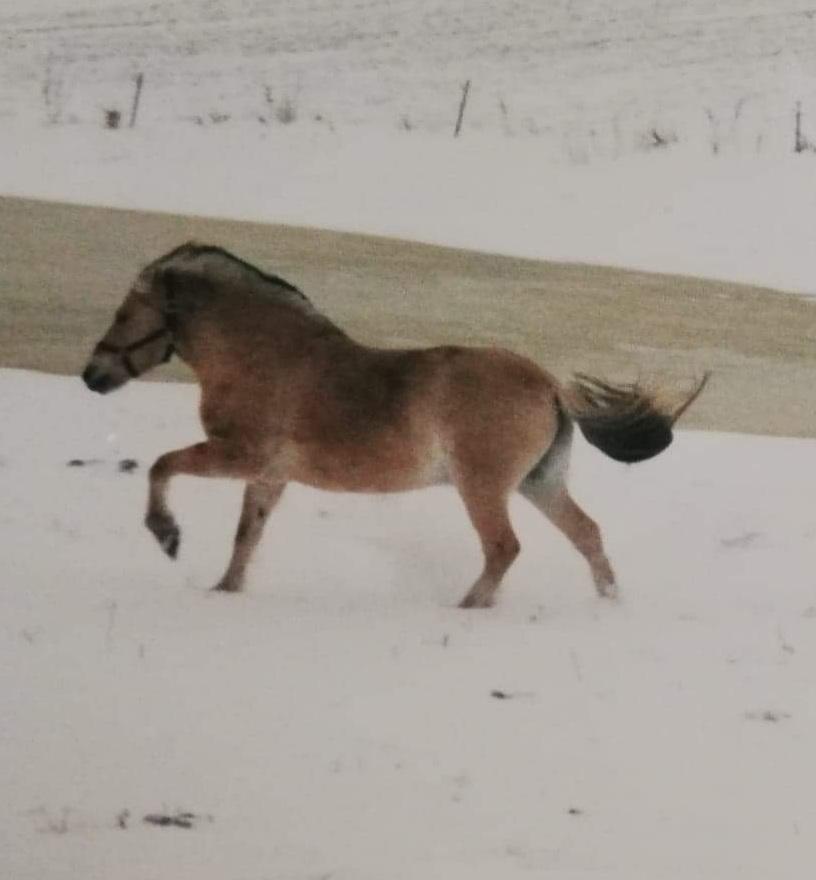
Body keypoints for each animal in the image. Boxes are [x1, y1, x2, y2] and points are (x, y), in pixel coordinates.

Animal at [83, 244, 708, 608]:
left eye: (124, 313)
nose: (92, 375)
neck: (265, 357)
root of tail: (549, 386)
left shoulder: (239, 455)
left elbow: (162, 466)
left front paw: (167, 536)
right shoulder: (269, 476)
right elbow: (246, 537)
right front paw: (224, 592)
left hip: (483, 487)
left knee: (503, 548)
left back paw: (467, 609)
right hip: (539, 482)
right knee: (586, 535)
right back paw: (609, 602)